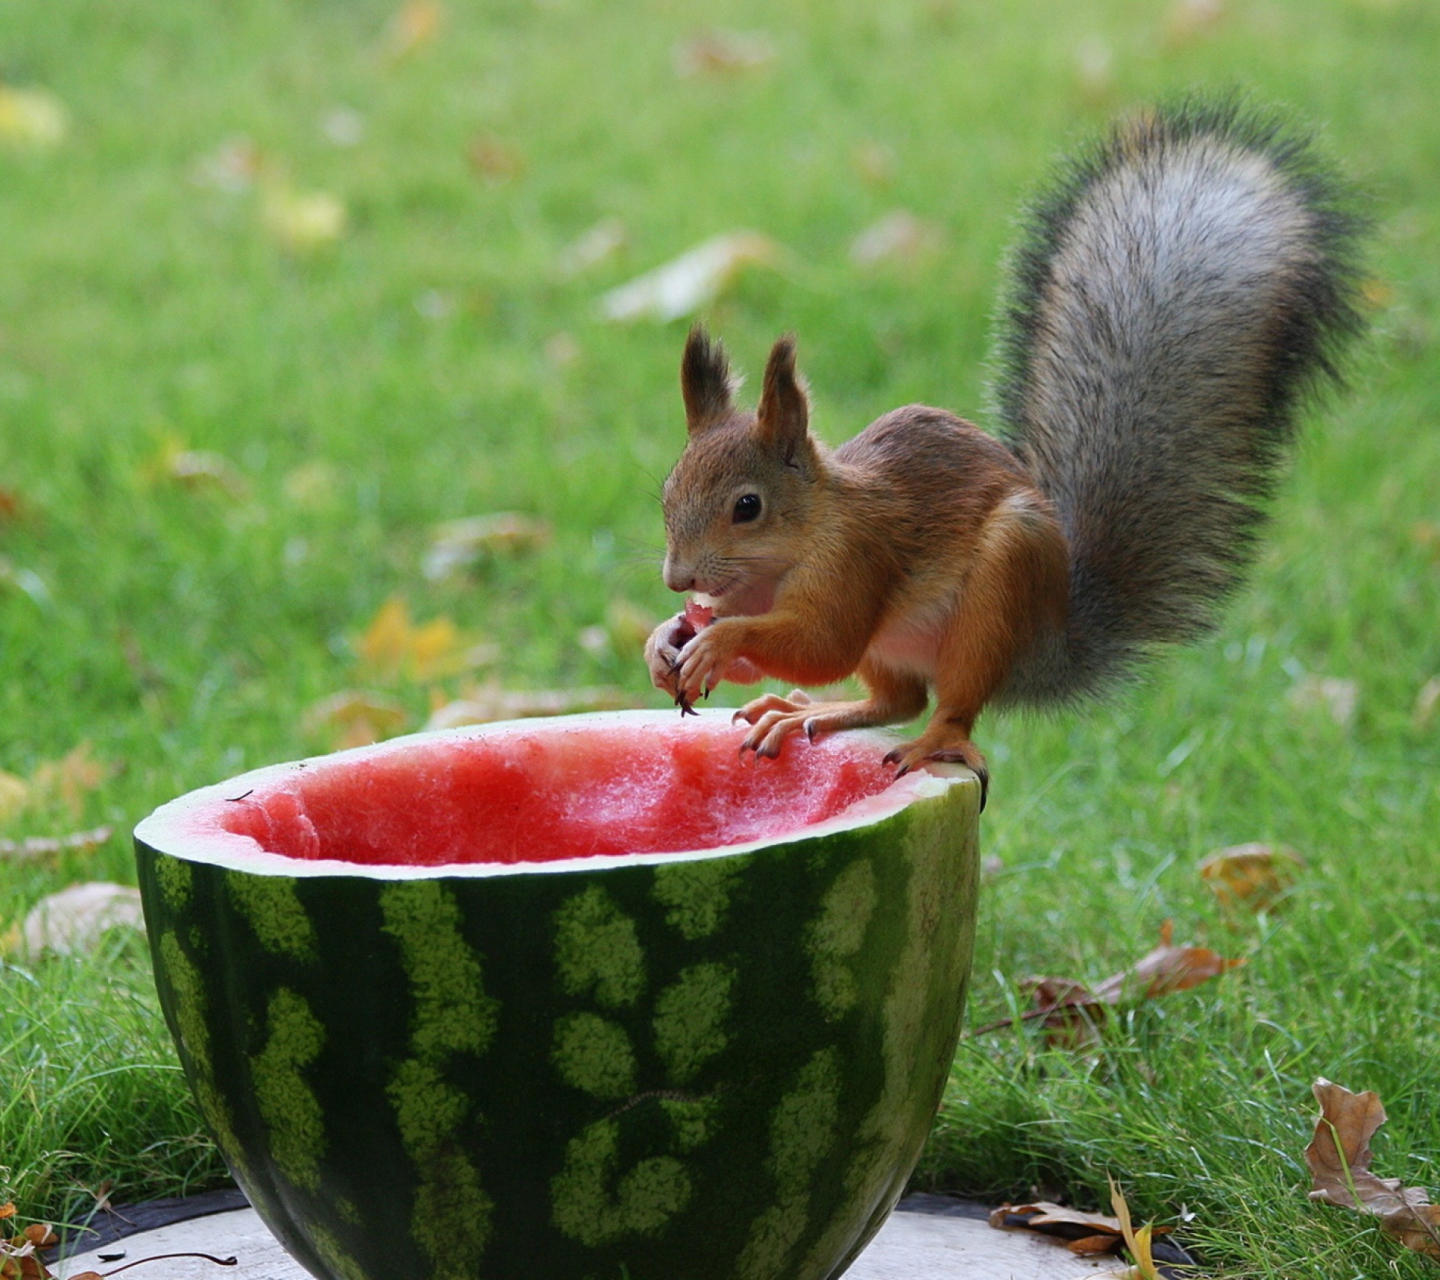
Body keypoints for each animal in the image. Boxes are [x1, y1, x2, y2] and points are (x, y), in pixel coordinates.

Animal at [642, 100, 1359, 806]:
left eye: (748, 506)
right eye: (668, 494)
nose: (678, 579)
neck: (787, 551)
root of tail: (1047, 641)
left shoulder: (858, 560)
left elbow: (824, 645)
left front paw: (720, 639)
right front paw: (667, 638)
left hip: (996, 597)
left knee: (948, 704)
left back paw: (932, 742)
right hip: (899, 646)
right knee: (896, 699)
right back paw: (806, 713)